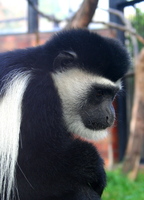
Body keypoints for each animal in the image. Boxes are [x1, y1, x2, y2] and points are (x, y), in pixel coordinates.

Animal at [0, 28, 130, 200]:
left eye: (112, 95)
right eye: (99, 93)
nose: (110, 116)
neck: (46, 71)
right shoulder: (36, 93)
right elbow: (32, 174)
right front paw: (94, 167)